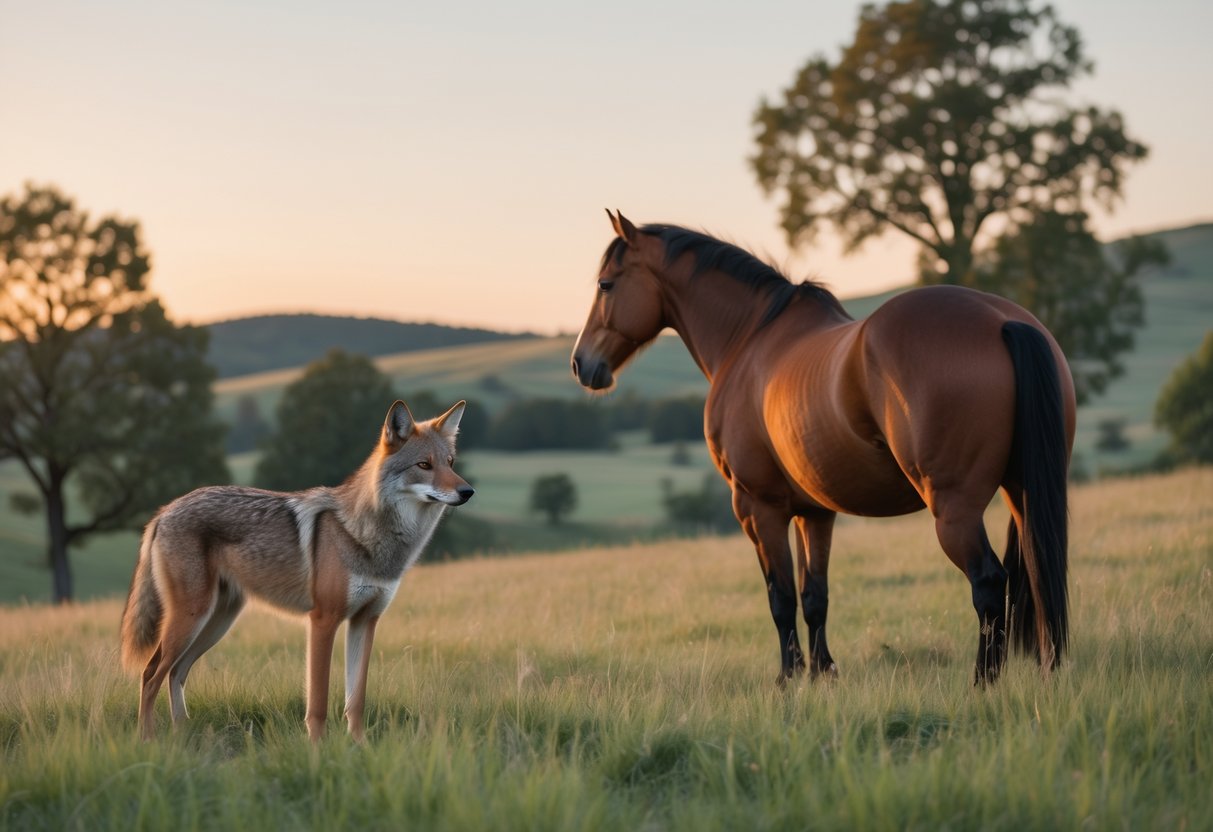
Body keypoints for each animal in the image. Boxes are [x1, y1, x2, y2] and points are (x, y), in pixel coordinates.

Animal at [571, 210, 1075, 686]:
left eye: (605, 284)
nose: (581, 363)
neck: (750, 340)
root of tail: (1003, 321)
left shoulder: (758, 507)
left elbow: (780, 597)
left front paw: (788, 677)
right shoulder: (814, 511)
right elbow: (815, 596)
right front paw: (823, 673)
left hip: (954, 510)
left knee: (989, 582)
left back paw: (983, 683)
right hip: (1022, 493)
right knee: (1038, 569)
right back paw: (1050, 672)